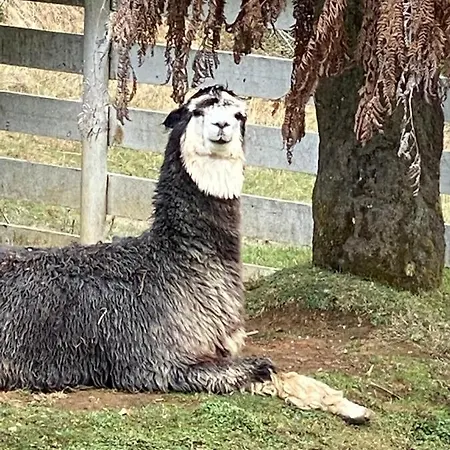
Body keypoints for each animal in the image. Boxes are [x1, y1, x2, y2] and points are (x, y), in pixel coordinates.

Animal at [0, 85, 275, 394]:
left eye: (239, 115)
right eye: (197, 111)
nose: (221, 126)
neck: (172, 260)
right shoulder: (159, 361)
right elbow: (253, 368)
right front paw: (262, 371)